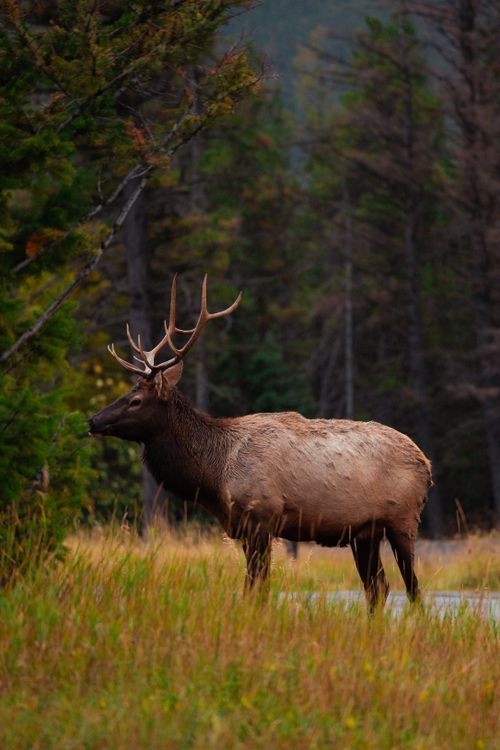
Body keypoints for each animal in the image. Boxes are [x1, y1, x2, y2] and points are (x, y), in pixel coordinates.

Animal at [88, 275, 432, 610]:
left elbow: (257, 589)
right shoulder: (242, 527)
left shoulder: (261, 518)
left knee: (413, 589)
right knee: (378, 588)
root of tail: (426, 465)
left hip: (403, 520)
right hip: (365, 533)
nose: (93, 420)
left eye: (135, 401)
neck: (214, 475)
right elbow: (255, 589)